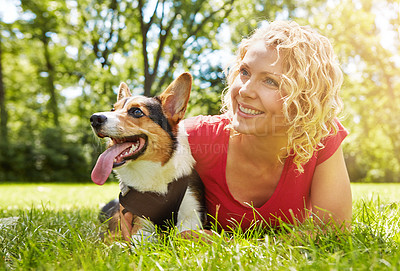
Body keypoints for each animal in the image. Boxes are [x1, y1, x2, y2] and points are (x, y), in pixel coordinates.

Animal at [90, 73, 206, 243]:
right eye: (113, 109)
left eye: (137, 112)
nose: (94, 118)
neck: (153, 171)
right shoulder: (141, 223)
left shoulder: (191, 214)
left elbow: (183, 234)